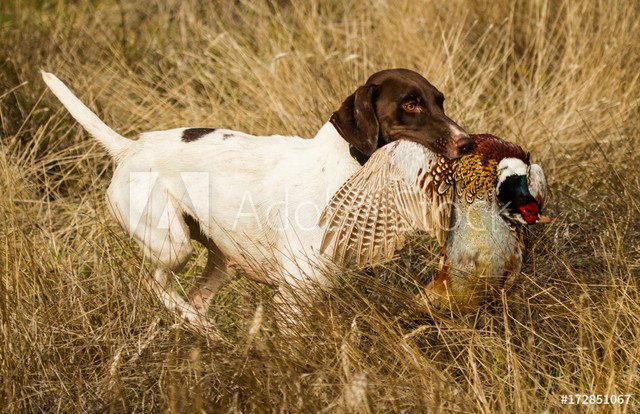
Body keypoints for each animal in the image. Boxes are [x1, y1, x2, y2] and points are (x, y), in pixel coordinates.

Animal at [40, 68, 470, 326]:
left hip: (222, 258)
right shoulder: (293, 295)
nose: (466, 142)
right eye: (410, 104)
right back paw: (196, 324)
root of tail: (130, 148)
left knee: (196, 297)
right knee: (155, 284)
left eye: (440, 100)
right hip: (172, 244)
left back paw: (205, 332)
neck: (347, 169)